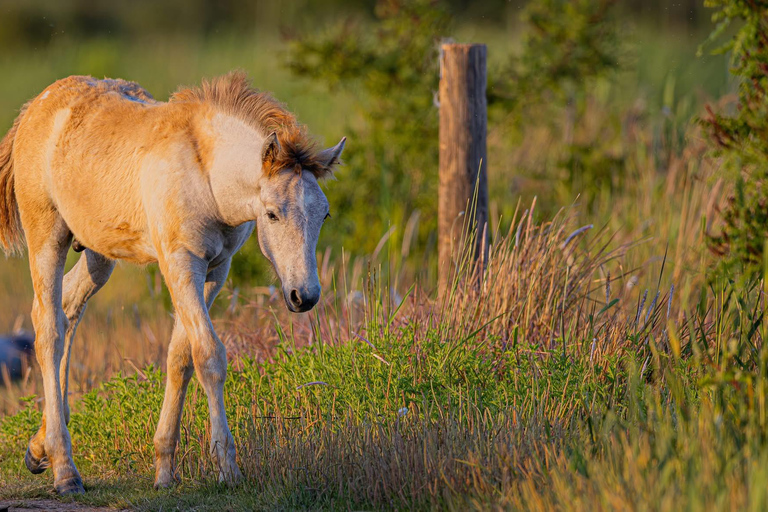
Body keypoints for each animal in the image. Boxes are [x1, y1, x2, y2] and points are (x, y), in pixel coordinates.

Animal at [0, 71, 345, 495]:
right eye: (271, 214)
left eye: (324, 214)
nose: (304, 296)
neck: (205, 175)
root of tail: (34, 108)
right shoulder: (181, 265)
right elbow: (209, 355)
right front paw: (228, 469)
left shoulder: (215, 271)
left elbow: (181, 357)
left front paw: (164, 471)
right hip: (47, 237)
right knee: (48, 329)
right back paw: (65, 471)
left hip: (99, 255)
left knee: (66, 313)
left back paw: (39, 448)